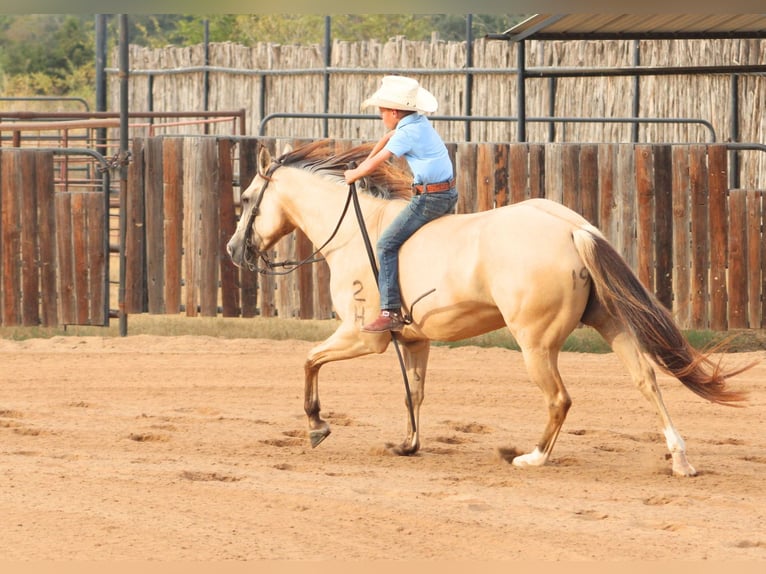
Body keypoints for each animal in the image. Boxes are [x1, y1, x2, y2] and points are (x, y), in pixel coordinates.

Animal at [226, 139, 750, 477]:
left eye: (248, 198)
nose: (234, 249)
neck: (362, 232)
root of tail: (571, 226)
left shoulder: (363, 337)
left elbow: (309, 360)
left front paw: (317, 426)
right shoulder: (413, 341)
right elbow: (413, 395)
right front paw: (409, 445)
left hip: (535, 344)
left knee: (559, 399)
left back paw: (531, 457)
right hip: (610, 323)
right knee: (646, 380)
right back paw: (680, 460)